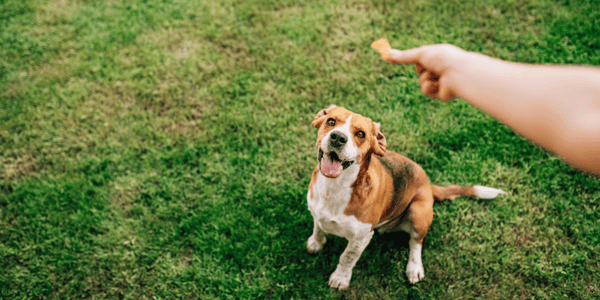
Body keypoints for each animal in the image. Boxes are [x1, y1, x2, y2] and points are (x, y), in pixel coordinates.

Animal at [304, 105, 506, 288]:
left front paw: (340, 278)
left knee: (416, 242)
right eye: (331, 122)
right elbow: (318, 227)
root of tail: (428, 186)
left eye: (360, 134)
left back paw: (414, 268)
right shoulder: (317, 212)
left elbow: (347, 258)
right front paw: (316, 243)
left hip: (418, 212)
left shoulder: (361, 238)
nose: (338, 137)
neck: (334, 187)